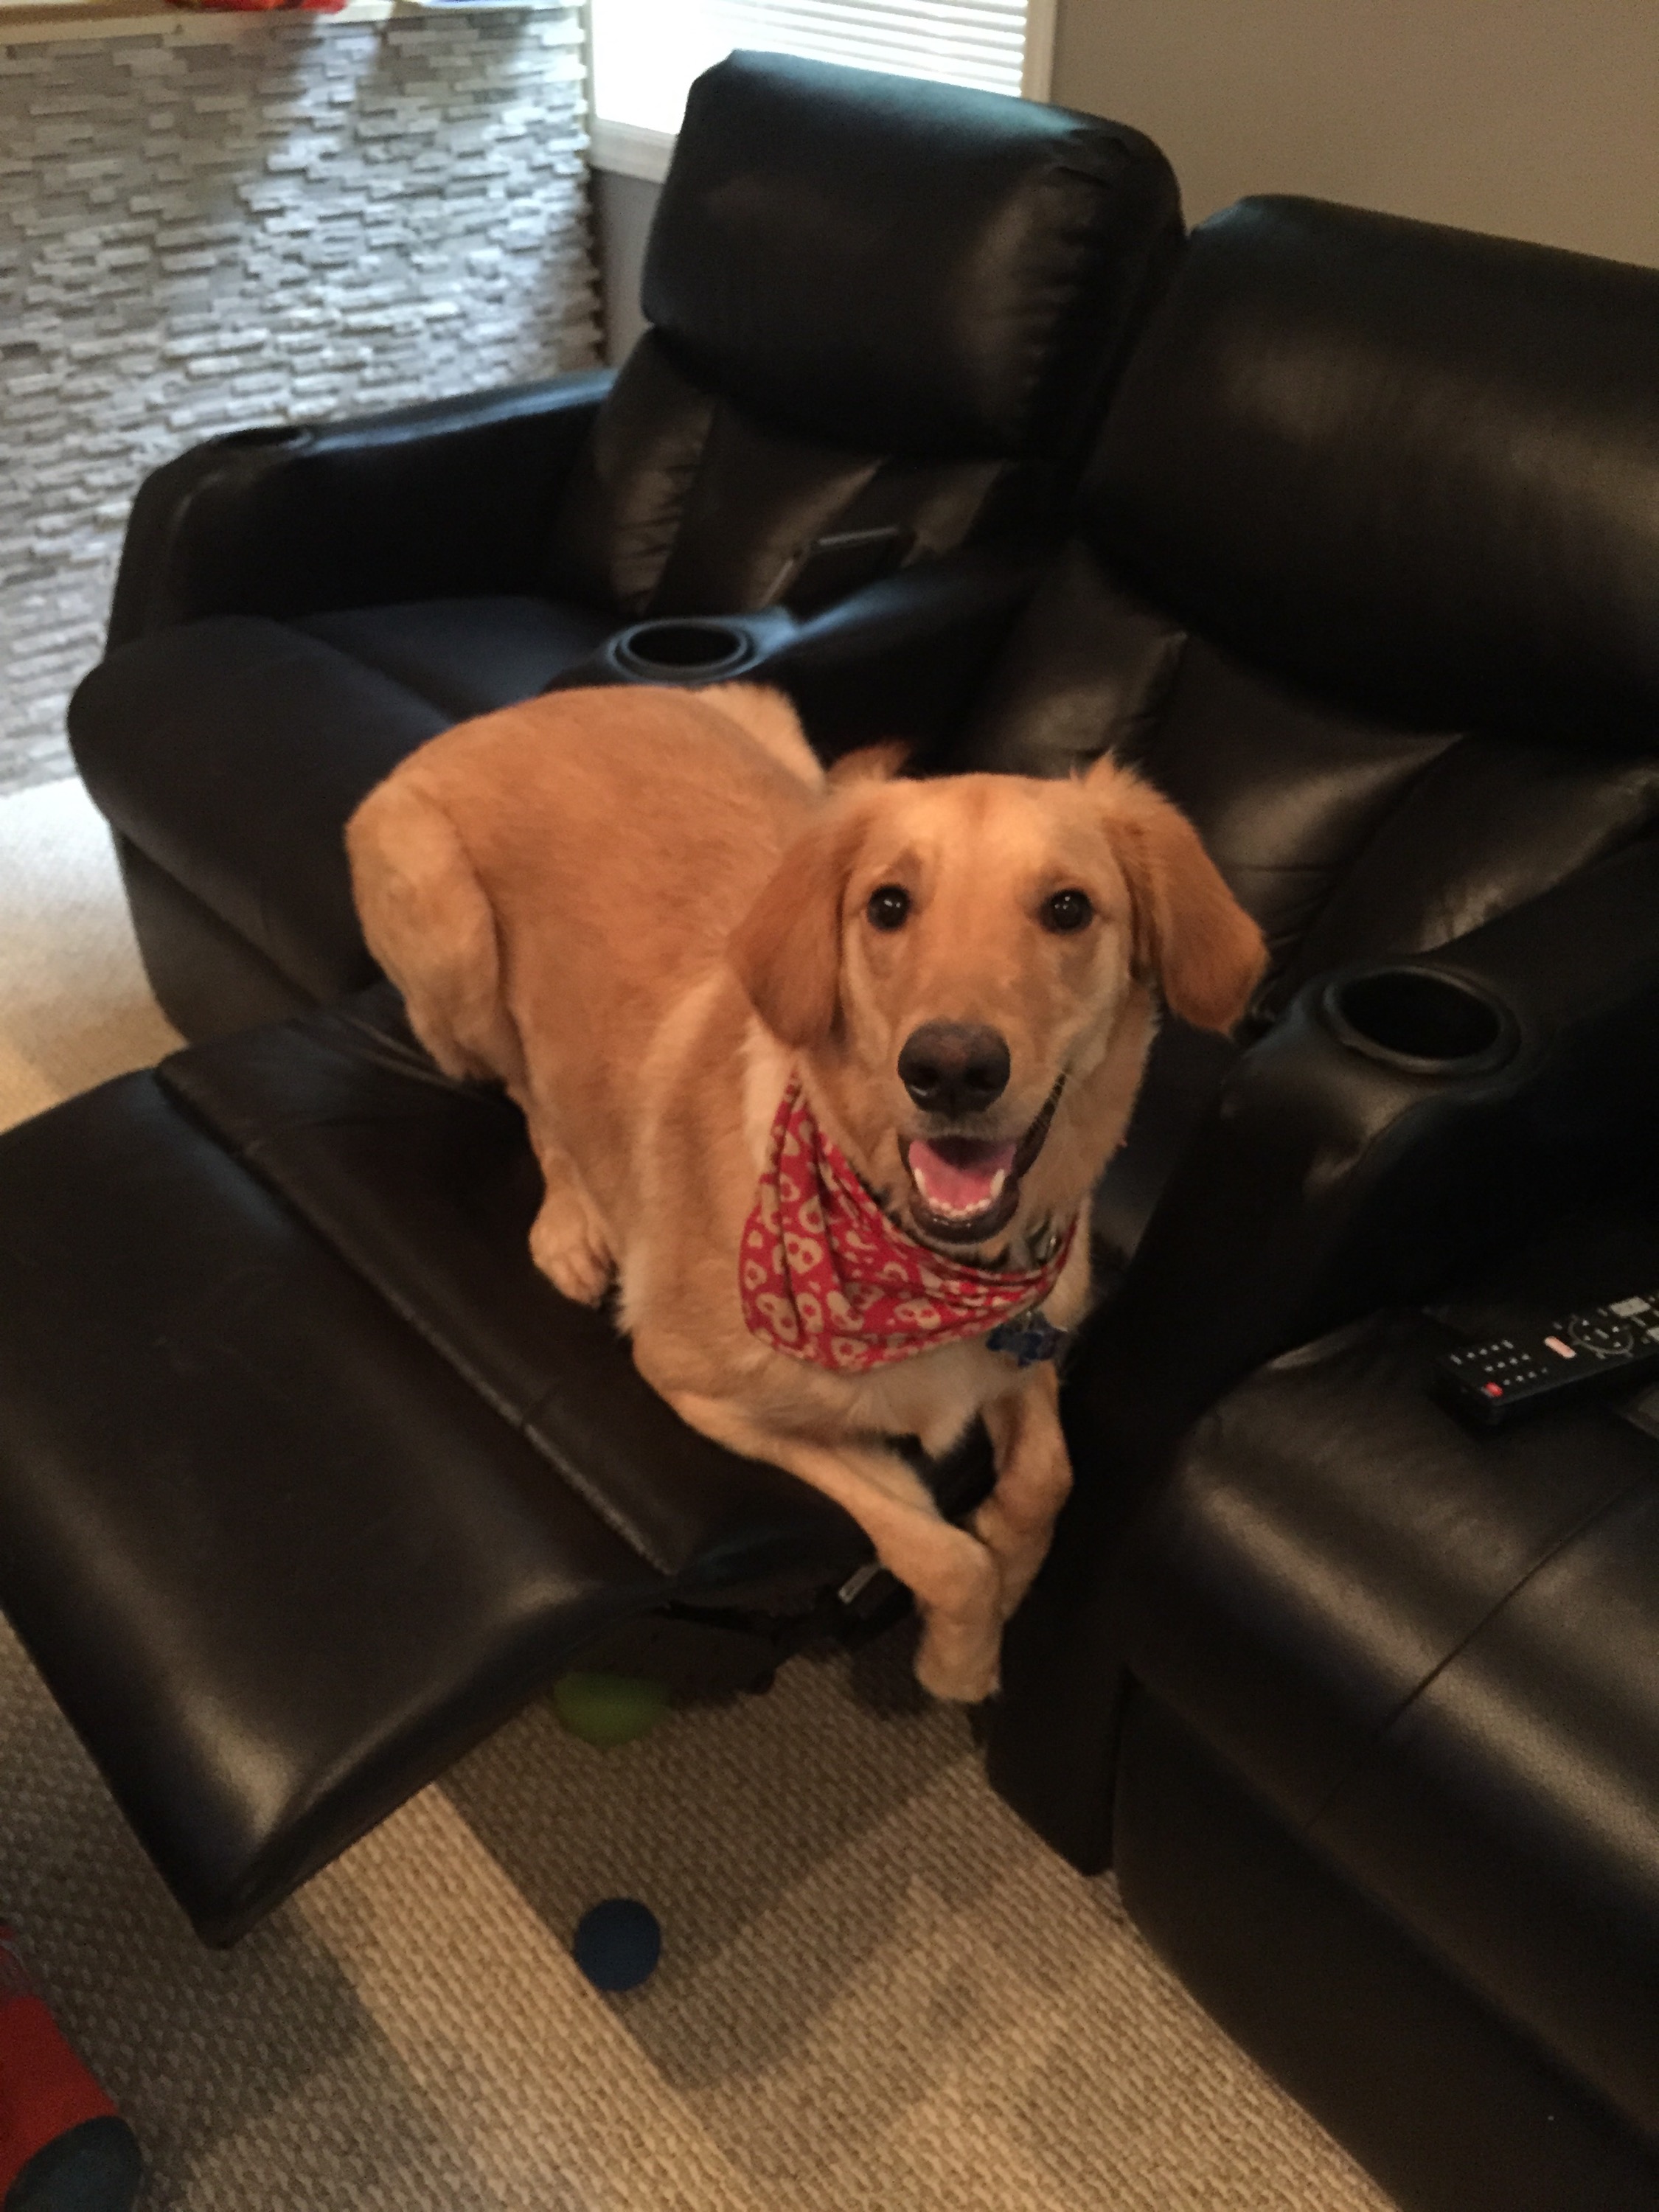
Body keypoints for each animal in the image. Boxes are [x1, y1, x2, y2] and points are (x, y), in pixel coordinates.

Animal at [346, 682, 1265, 1701]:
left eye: (1069, 908)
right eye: (888, 905)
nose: (950, 1070)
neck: (917, 1257)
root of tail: (525, 705)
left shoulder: (1031, 1336)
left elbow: (1045, 1483)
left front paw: (1009, 1569)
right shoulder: (697, 1388)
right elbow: (940, 1552)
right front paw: (960, 1660)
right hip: (449, 930)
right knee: (524, 1088)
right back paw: (573, 1224)